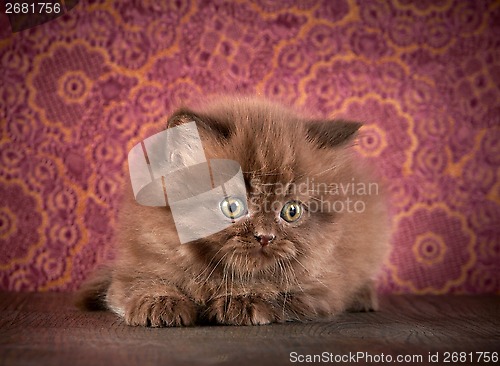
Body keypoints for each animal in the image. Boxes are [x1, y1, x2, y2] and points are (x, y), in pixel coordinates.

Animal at [79, 96, 390, 326]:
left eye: (291, 211)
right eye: (232, 206)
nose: (265, 237)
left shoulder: (321, 288)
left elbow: (276, 290)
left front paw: (241, 298)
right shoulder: (132, 267)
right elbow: (142, 283)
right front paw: (160, 303)